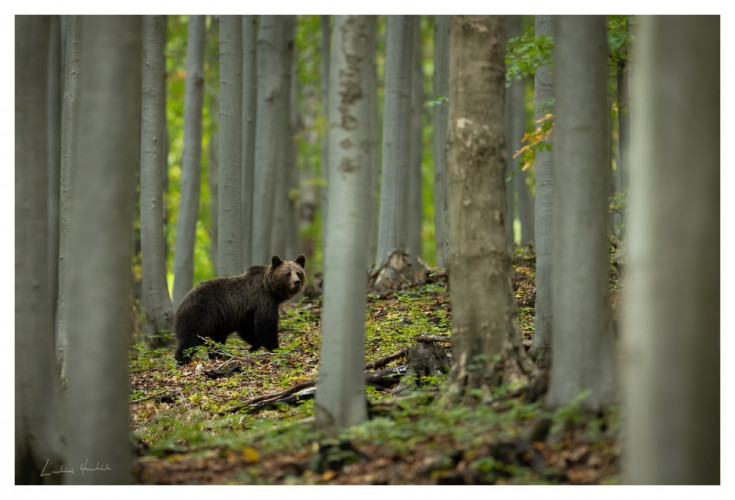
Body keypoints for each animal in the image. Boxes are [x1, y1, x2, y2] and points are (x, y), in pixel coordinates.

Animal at [172, 254, 304, 364]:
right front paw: (276, 347)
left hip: (216, 322)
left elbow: (248, 330)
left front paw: (255, 346)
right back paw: (183, 359)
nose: (297, 282)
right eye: (288, 273)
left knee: (216, 339)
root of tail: (181, 304)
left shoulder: (247, 312)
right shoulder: (263, 300)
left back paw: (217, 355)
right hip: (201, 313)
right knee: (192, 337)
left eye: (298, 273)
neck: (270, 289)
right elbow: (266, 326)